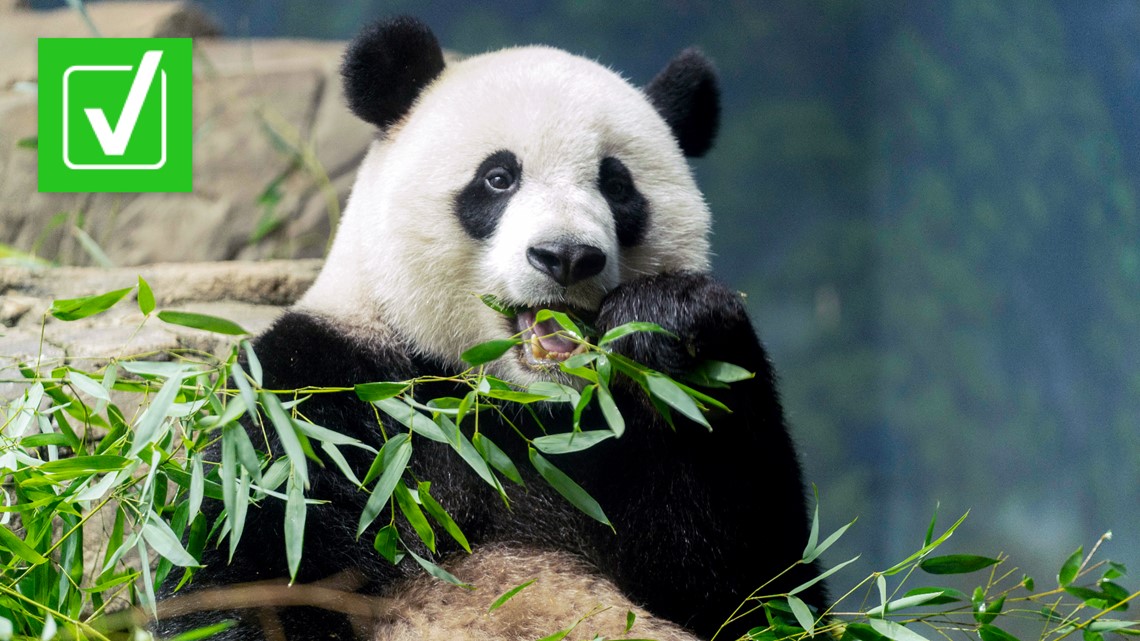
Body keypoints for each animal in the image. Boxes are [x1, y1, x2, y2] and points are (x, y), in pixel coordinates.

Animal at [159, 15, 824, 641]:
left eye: (616, 184)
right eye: (499, 178)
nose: (566, 256)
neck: (506, 399)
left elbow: (755, 583)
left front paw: (668, 320)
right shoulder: (315, 396)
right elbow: (245, 560)